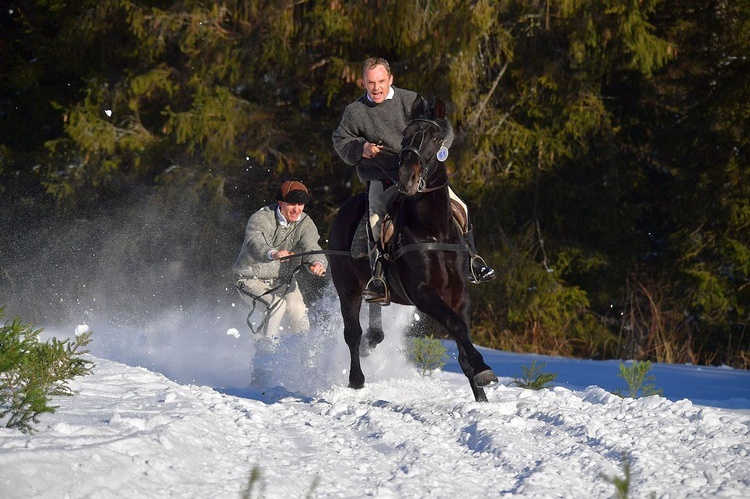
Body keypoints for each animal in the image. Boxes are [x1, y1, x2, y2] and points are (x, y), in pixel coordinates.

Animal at [328, 96, 500, 402]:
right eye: (405, 137)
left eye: (435, 138)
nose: (407, 179)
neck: (433, 229)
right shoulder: (422, 293)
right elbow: (455, 325)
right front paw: (483, 370)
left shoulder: (459, 292)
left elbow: (463, 333)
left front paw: (480, 394)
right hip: (346, 287)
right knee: (352, 332)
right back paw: (356, 380)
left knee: (374, 324)